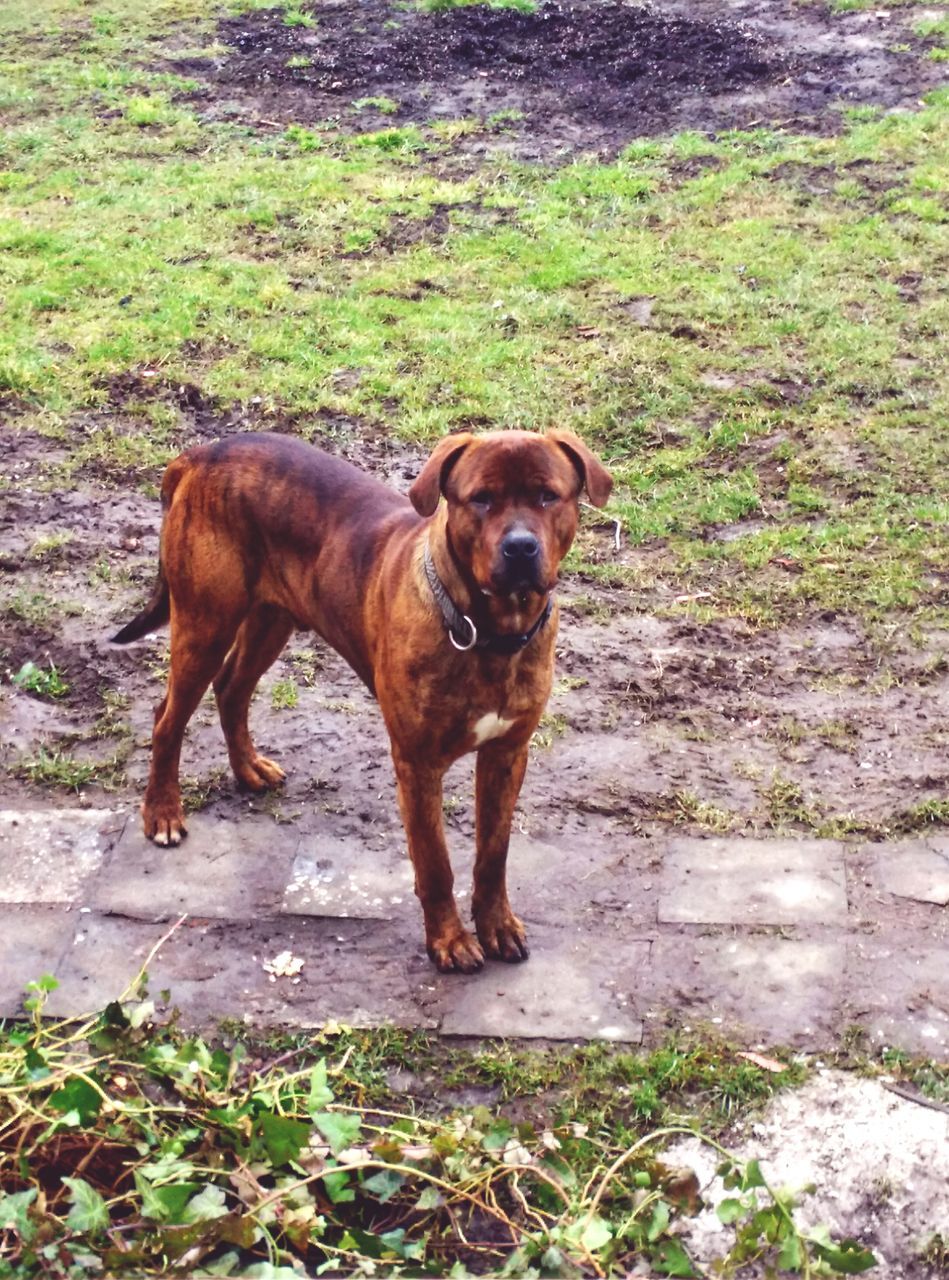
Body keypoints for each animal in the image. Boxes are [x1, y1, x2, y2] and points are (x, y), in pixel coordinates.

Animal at [112, 430, 614, 967]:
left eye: (547, 496)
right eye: (481, 499)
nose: (520, 548)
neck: (490, 632)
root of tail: (202, 453)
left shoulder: (507, 753)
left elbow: (492, 855)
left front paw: (496, 924)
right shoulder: (418, 765)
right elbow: (435, 862)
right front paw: (449, 940)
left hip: (273, 617)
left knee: (231, 688)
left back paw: (248, 769)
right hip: (206, 622)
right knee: (168, 717)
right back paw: (163, 813)